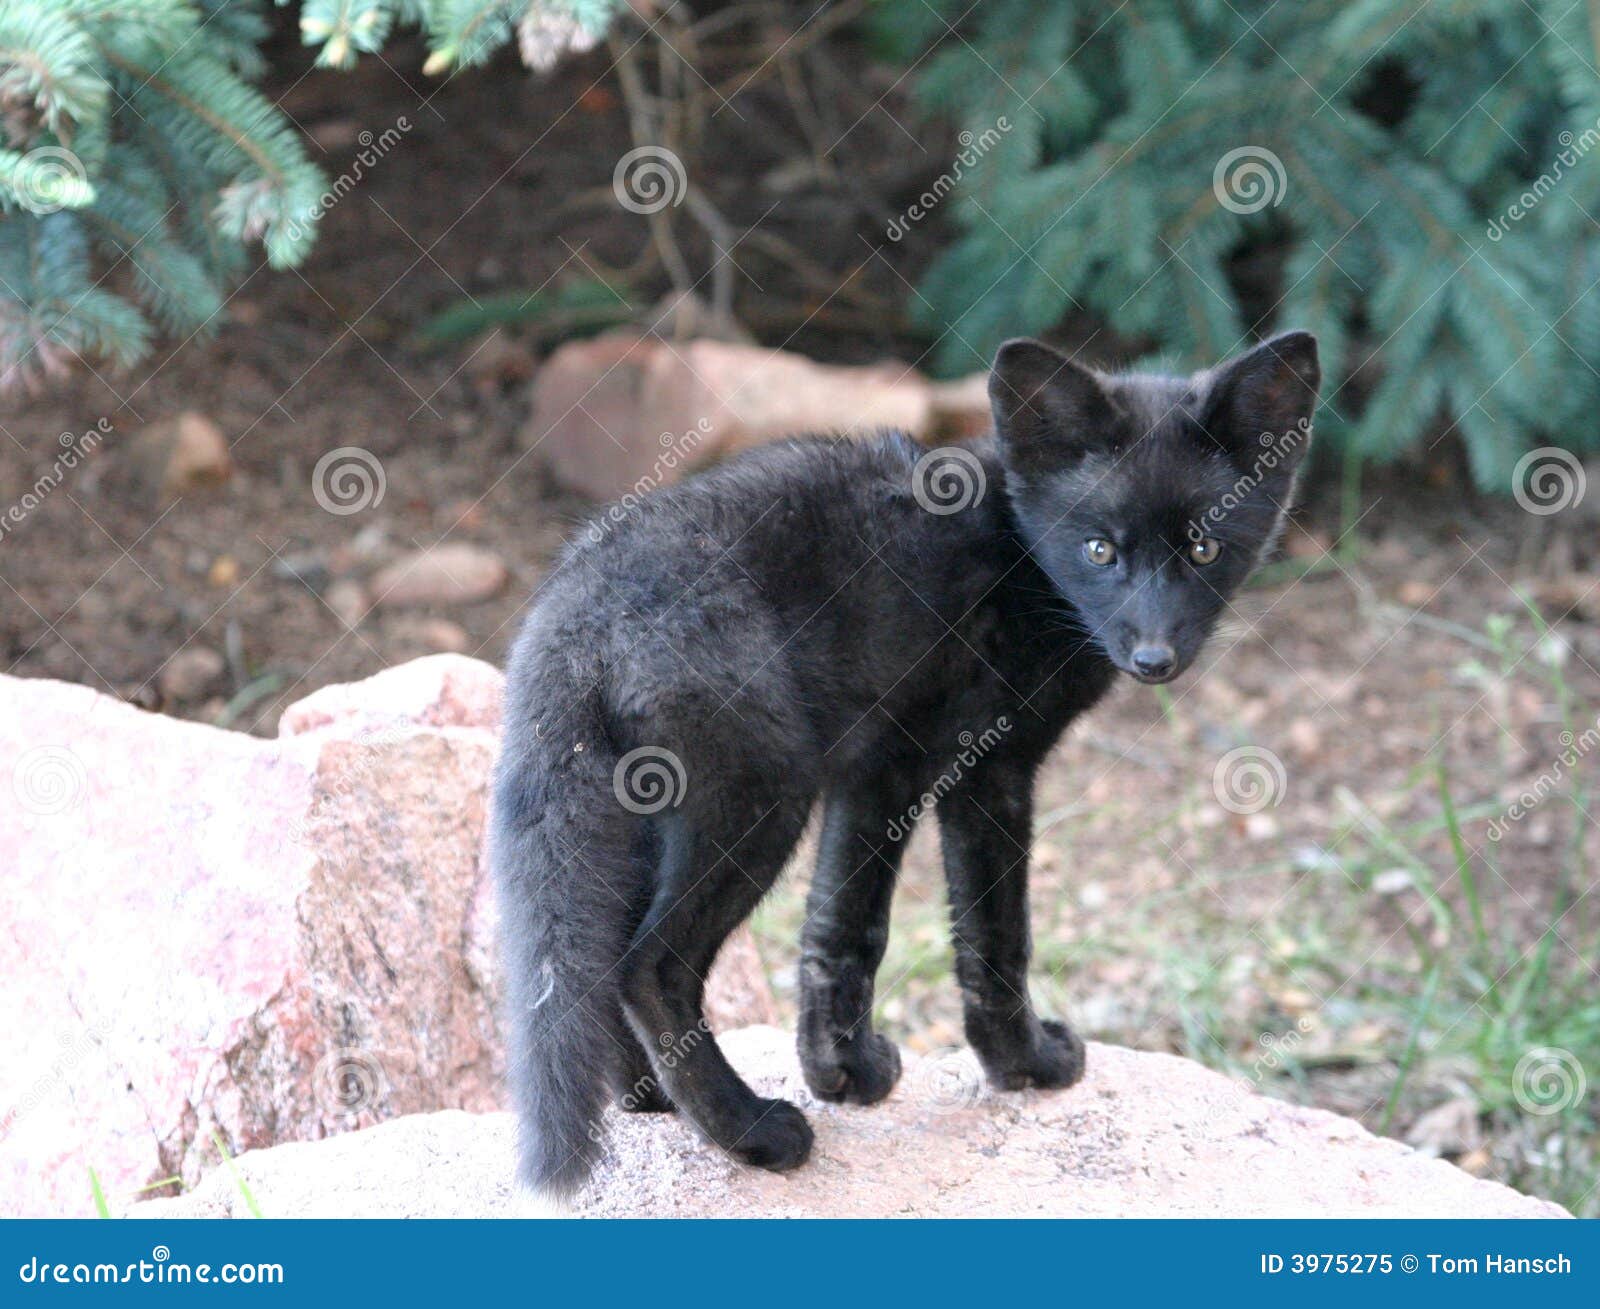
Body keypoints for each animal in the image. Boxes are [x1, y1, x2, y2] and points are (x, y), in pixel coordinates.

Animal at [490, 330, 1321, 1197]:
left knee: (601, 965)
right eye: (1101, 549)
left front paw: (842, 1071)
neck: (1018, 556)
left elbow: (845, 930)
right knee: (648, 968)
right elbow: (996, 940)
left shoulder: (879, 768)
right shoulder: (988, 771)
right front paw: (1026, 1064)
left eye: (1204, 546)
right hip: (762, 800)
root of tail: (574, 607)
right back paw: (749, 1130)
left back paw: (650, 1099)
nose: (1155, 657)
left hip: (651, 821)